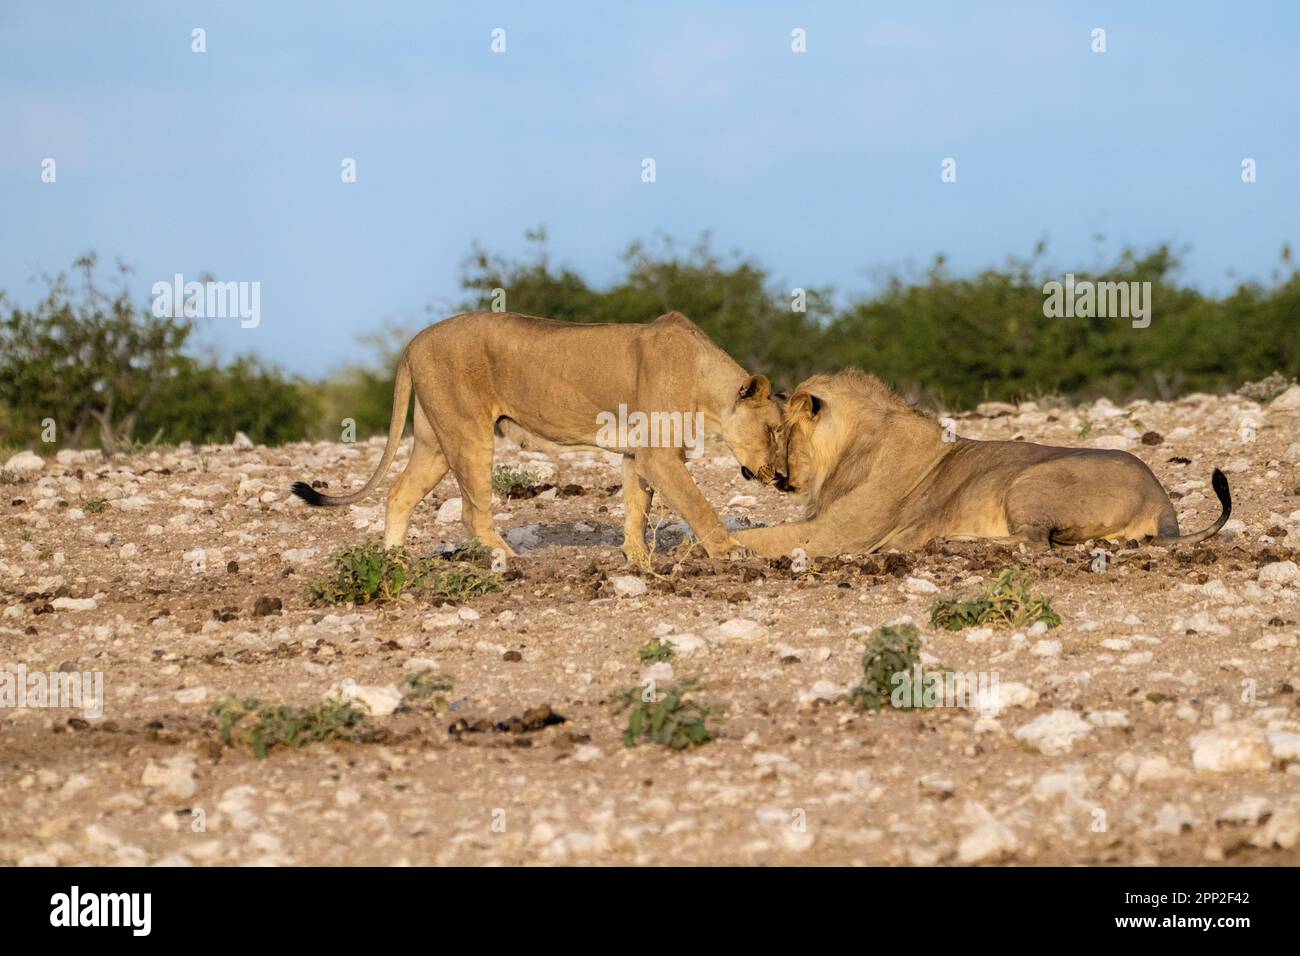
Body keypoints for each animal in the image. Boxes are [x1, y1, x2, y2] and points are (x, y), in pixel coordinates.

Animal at [293, 310, 780, 561]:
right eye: (775, 429)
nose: (778, 476)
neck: (707, 384)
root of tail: (413, 341)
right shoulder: (658, 454)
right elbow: (699, 505)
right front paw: (730, 549)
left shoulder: (637, 453)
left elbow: (636, 508)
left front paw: (637, 560)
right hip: (469, 433)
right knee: (471, 514)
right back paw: (508, 560)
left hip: (435, 440)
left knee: (399, 493)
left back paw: (394, 563)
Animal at [738, 369, 1232, 561]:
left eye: (779, 430)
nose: (759, 474)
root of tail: (1160, 497)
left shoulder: (838, 535)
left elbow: (766, 537)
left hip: (1029, 481)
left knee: (1034, 542)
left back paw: (952, 540)